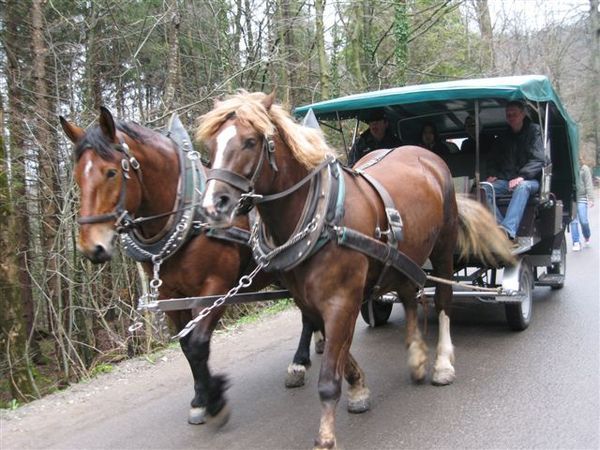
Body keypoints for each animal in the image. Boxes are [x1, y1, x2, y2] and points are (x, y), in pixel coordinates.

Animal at [198, 90, 516, 446]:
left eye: (250, 141)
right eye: (210, 146)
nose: (213, 206)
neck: (322, 218)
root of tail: (425, 155)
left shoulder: (342, 300)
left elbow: (329, 373)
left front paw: (325, 437)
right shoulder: (312, 301)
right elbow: (339, 349)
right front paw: (358, 388)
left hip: (444, 246)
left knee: (445, 299)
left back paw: (442, 363)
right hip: (401, 255)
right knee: (409, 293)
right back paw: (418, 356)